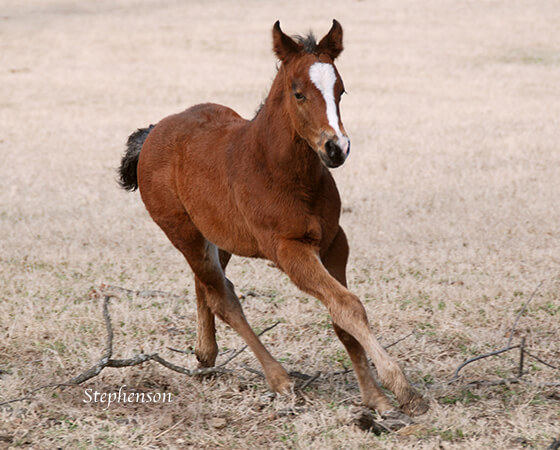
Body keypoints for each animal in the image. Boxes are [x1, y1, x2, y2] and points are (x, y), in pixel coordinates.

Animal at [119, 20, 428, 418]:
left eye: (341, 90)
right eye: (298, 93)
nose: (336, 148)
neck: (280, 170)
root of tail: (154, 130)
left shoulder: (334, 243)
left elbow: (342, 316)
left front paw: (374, 396)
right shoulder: (289, 250)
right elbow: (348, 306)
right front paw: (402, 389)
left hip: (219, 238)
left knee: (206, 287)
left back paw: (206, 354)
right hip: (183, 232)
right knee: (223, 298)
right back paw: (279, 379)